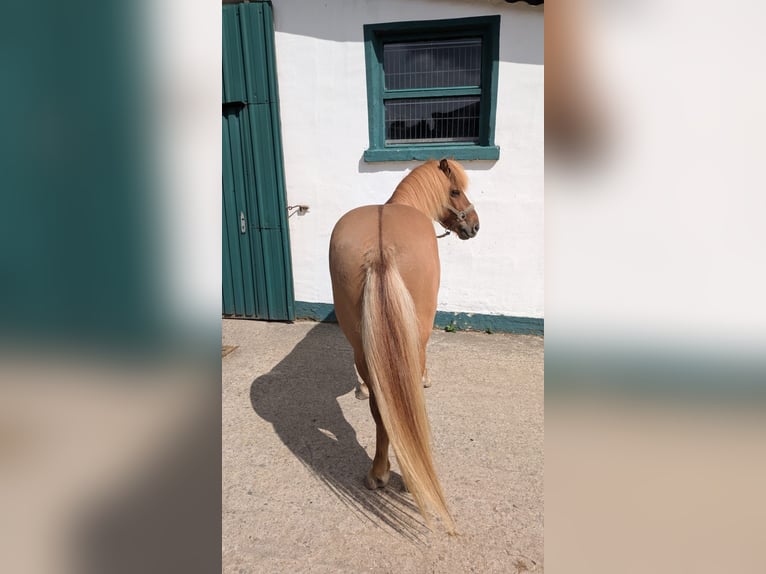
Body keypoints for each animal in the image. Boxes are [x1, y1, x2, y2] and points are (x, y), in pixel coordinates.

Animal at [328, 159, 480, 535]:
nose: (474, 226)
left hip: (360, 343)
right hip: (417, 335)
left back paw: (378, 473)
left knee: (383, 409)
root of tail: (380, 250)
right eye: (455, 191)